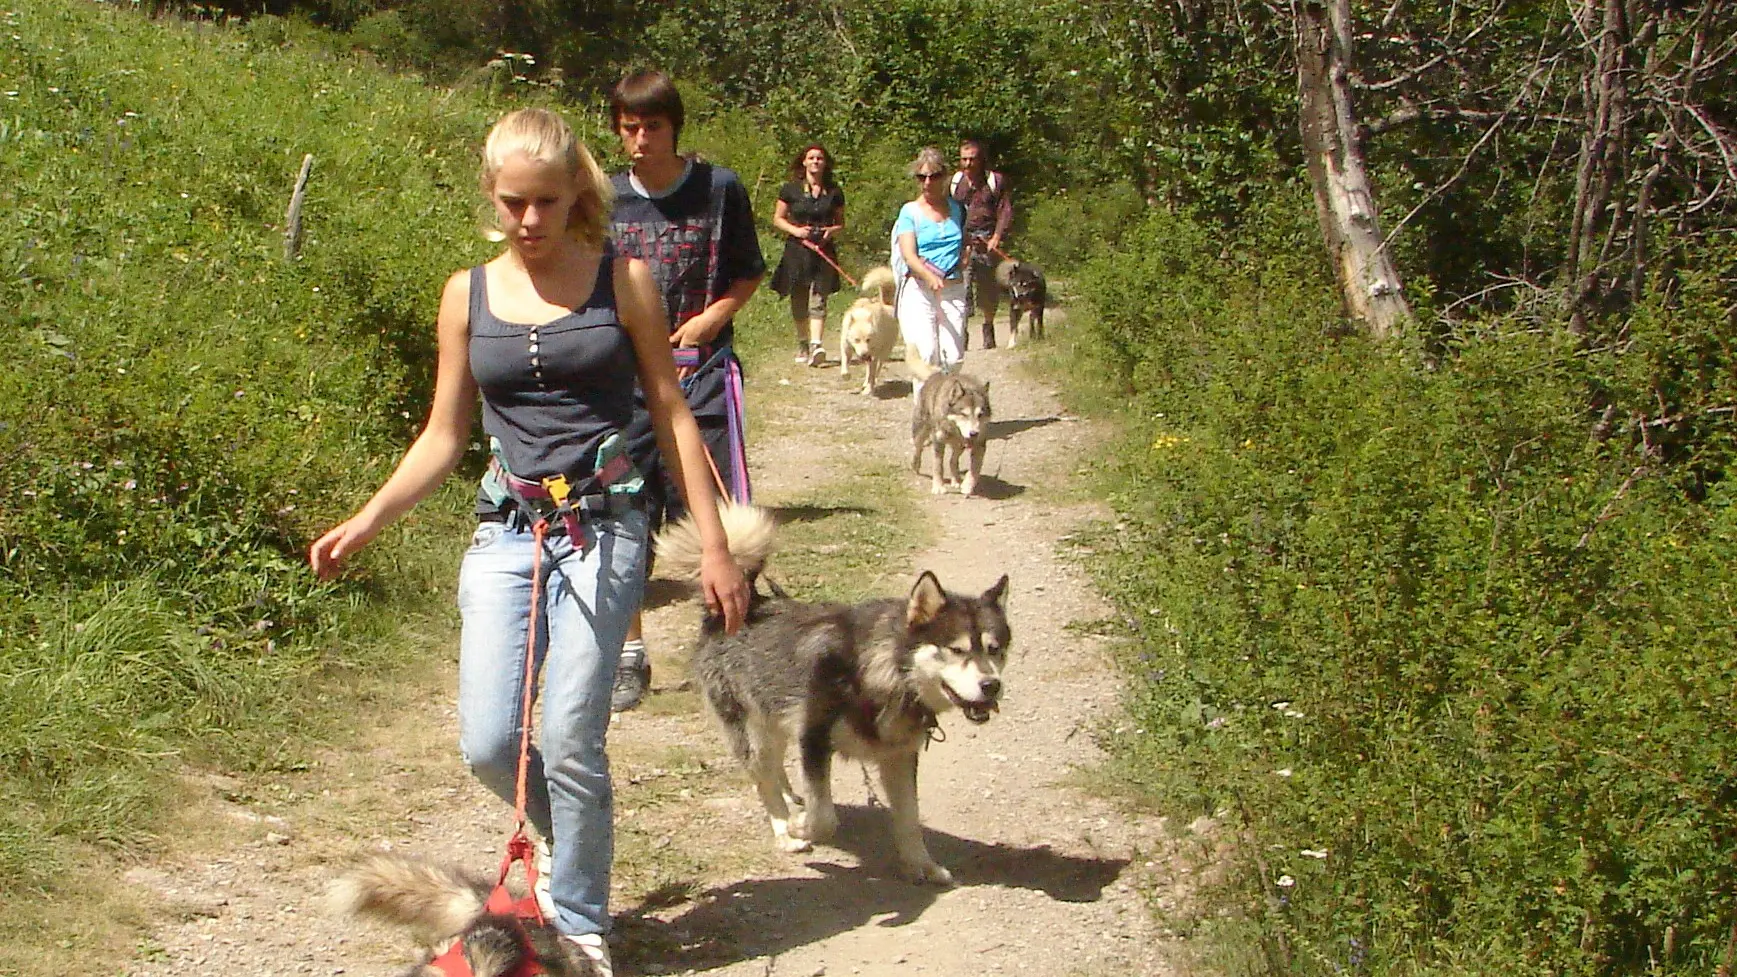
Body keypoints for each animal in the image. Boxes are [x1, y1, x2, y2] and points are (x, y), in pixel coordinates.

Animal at [653, 500, 1014, 883]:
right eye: (957, 650)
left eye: (994, 649)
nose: (991, 686)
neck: (881, 672)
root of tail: (741, 607)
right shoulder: (813, 738)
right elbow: (824, 818)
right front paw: (800, 827)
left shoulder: (898, 756)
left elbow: (909, 819)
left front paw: (921, 864)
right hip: (752, 730)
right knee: (763, 778)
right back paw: (784, 828)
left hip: (775, 721)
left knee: (776, 769)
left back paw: (790, 800)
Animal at [837, 264, 896, 392]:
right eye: (856, 340)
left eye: (868, 339)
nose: (864, 354)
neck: (862, 315)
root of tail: (886, 304)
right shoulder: (846, 347)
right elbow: (844, 363)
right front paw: (846, 375)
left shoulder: (873, 354)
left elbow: (872, 373)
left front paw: (869, 389)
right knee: (869, 370)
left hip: (884, 352)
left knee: (876, 369)